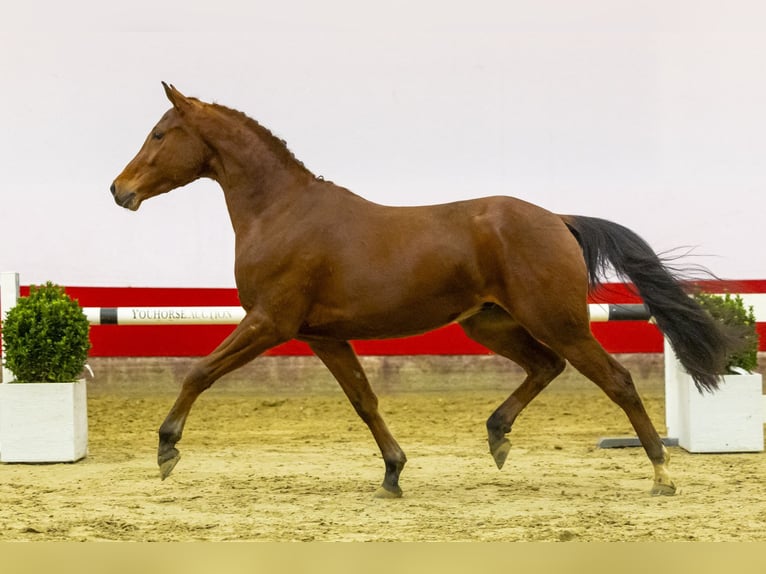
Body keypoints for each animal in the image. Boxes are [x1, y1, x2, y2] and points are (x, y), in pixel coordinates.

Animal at [112, 84, 736, 500]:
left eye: (160, 134)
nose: (120, 190)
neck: (281, 212)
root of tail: (558, 219)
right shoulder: (322, 336)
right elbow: (365, 401)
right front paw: (393, 472)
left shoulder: (270, 322)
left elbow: (198, 371)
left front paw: (167, 449)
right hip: (489, 322)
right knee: (546, 366)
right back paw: (498, 436)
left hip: (558, 321)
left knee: (616, 379)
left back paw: (661, 473)